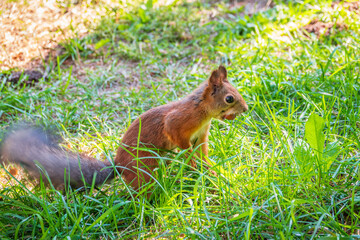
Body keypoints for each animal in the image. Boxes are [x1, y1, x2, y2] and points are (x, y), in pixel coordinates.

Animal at [0, 65, 248, 193]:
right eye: (229, 98)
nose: (246, 108)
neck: (202, 111)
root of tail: (119, 167)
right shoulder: (178, 122)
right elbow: (180, 141)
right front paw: (191, 163)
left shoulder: (200, 136)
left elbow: (202, 154)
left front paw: (210, 171)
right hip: (144, 168)